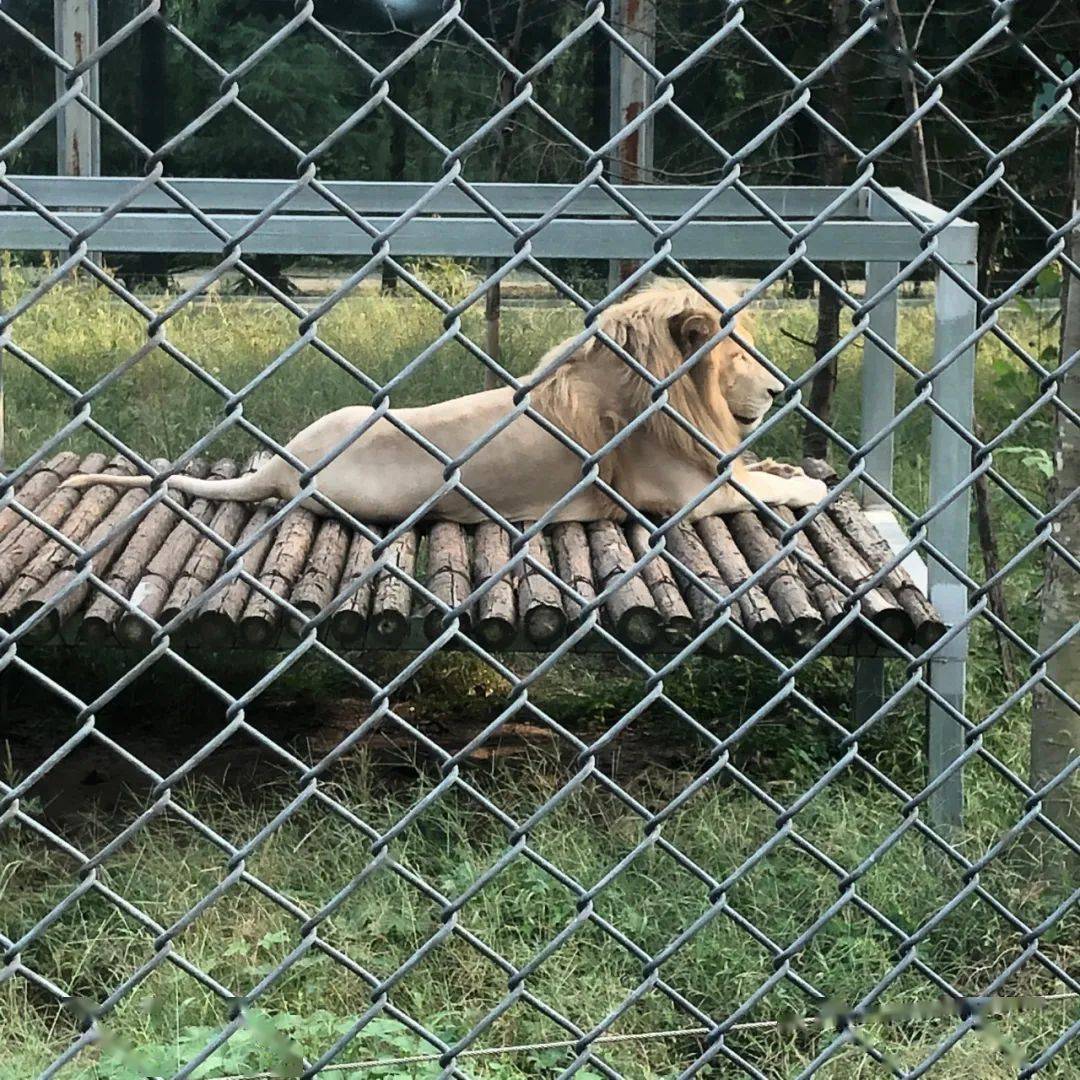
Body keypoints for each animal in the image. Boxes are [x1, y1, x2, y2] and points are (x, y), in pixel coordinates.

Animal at [65, 280, 825, 524]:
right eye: (739, 355)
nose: (780, 389)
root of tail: (284, 468)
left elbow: (759, 470)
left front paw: (791, 468)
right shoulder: (674, 494)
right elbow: (754, 488)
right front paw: (807, 488)